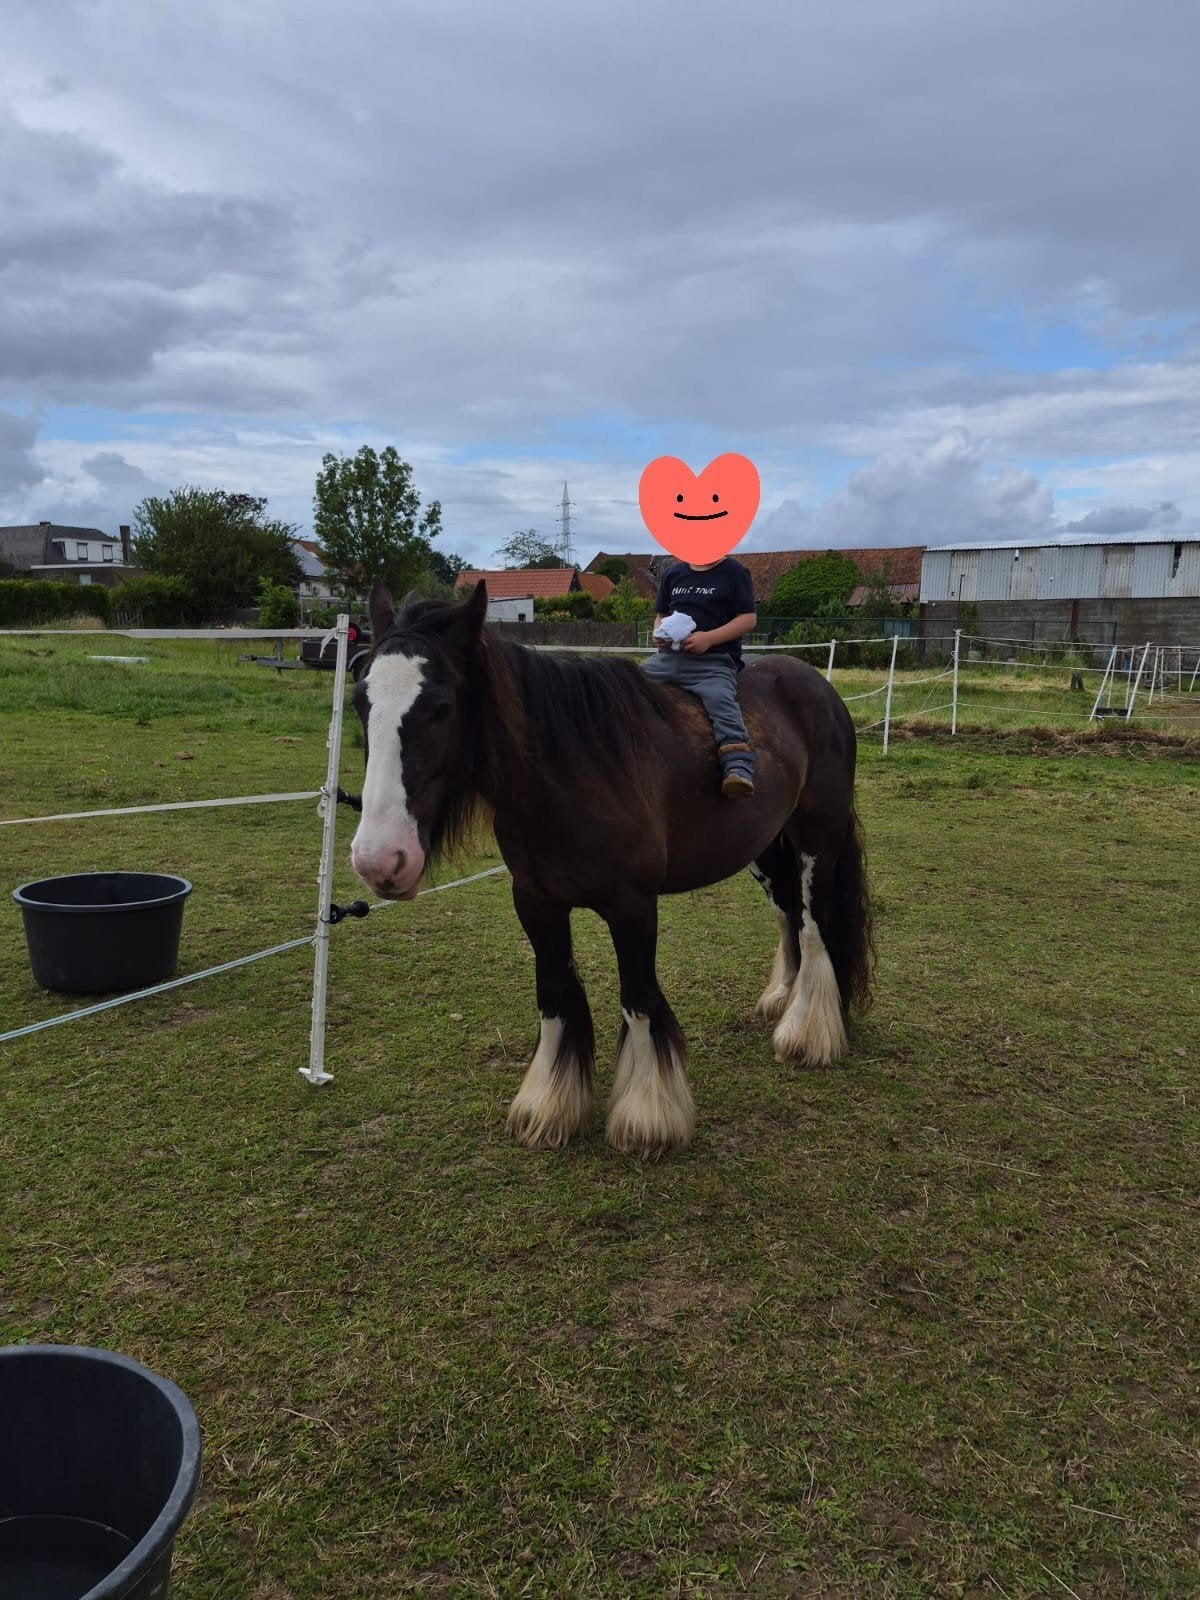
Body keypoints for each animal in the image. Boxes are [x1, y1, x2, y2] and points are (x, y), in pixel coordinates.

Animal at [349, 578, 873, 1160]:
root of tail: (817, 686)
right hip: (762, 845)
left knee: (813, 922)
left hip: (816, 839)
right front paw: (549, 1106)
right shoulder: (536, 903)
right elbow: (554, 995)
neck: (575, 771)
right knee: (787, 912)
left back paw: (806, 1034)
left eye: (441, 706)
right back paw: (780, 1000)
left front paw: (648, 1118)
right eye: (359, 701)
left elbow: (639, 999)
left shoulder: (633, 908)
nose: (379, 860)